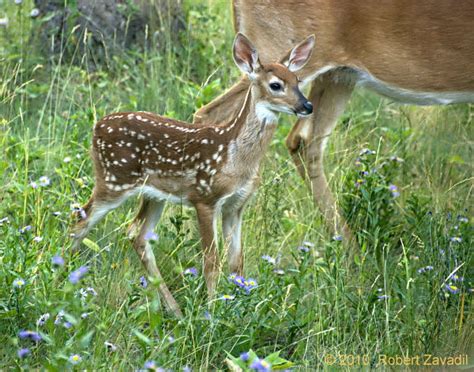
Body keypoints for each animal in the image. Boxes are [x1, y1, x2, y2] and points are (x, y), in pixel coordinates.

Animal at [71, 32, 314, 316]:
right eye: (276, 85)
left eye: (297, 81)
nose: (307, 106)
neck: (234, 158)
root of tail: (96, 126)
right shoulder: (205, 198)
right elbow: (211, 262)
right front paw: (211, 313)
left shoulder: (236, 205)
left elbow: (237, 263)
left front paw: (238, 310)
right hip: (113, 179)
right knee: (79, 221)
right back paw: (62, 279)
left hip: (153, 195)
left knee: (136, 234)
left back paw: (174, 310)